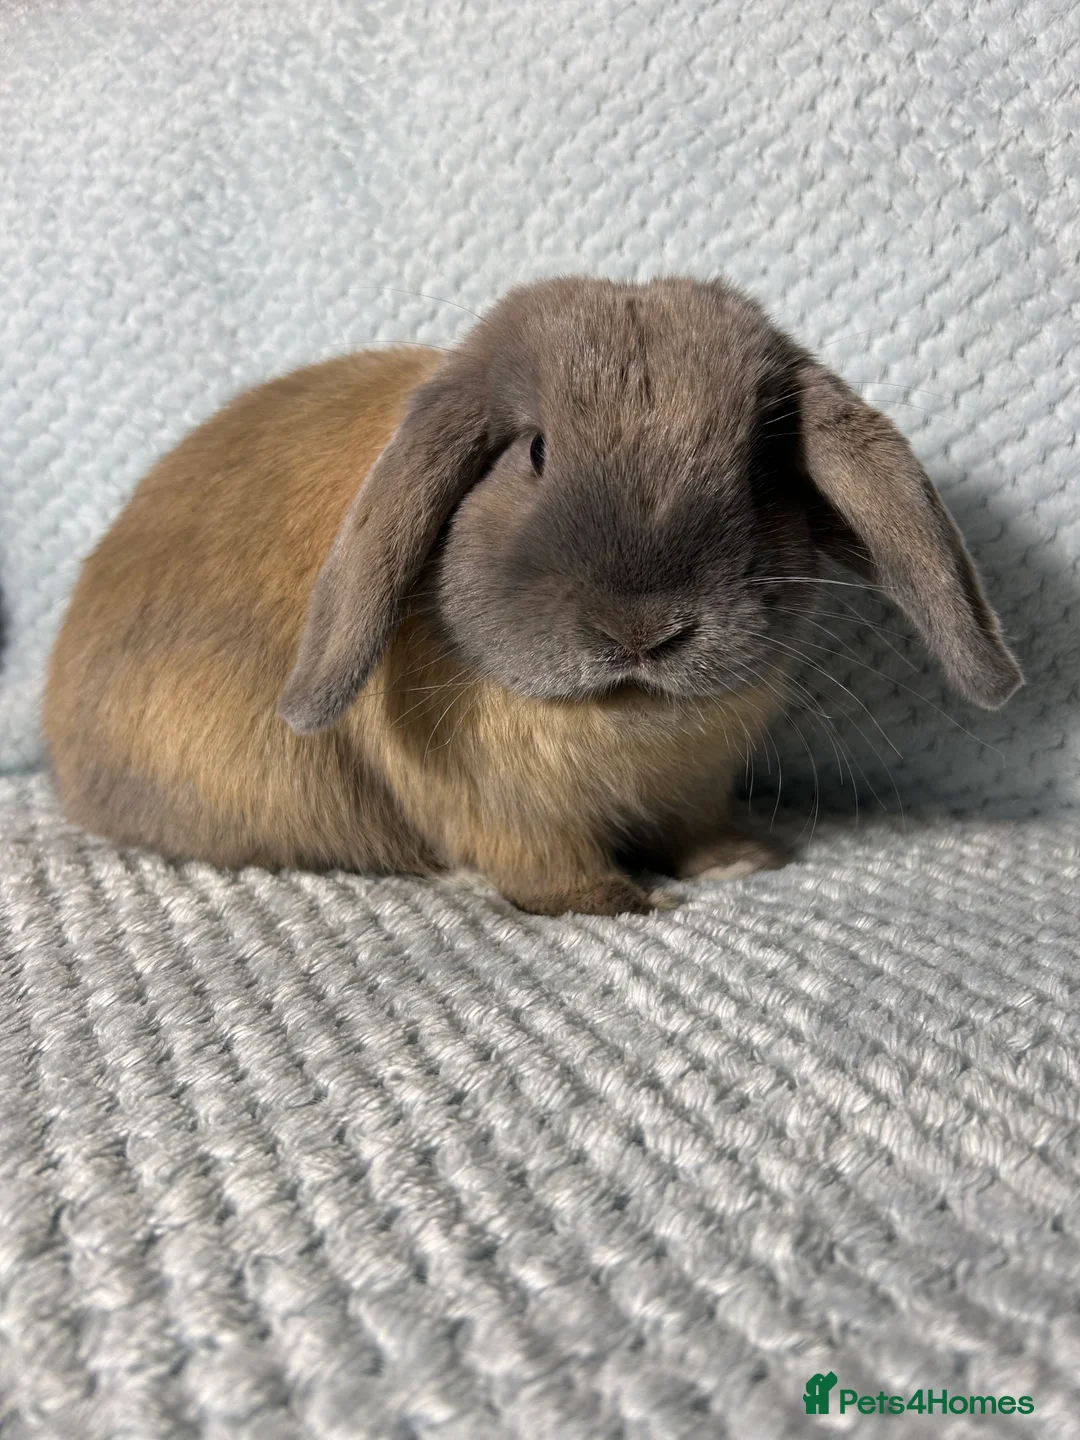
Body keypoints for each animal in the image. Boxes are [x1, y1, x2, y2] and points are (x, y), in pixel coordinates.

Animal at [43, 276, 1023, 915]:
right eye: (535, 453)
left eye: (756, 471)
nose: (643, 629)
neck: (621, 718)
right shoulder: (500, 810)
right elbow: (544, 869)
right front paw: (624, 904)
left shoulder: (696, 788)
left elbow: (699, 831)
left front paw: (740, 861)